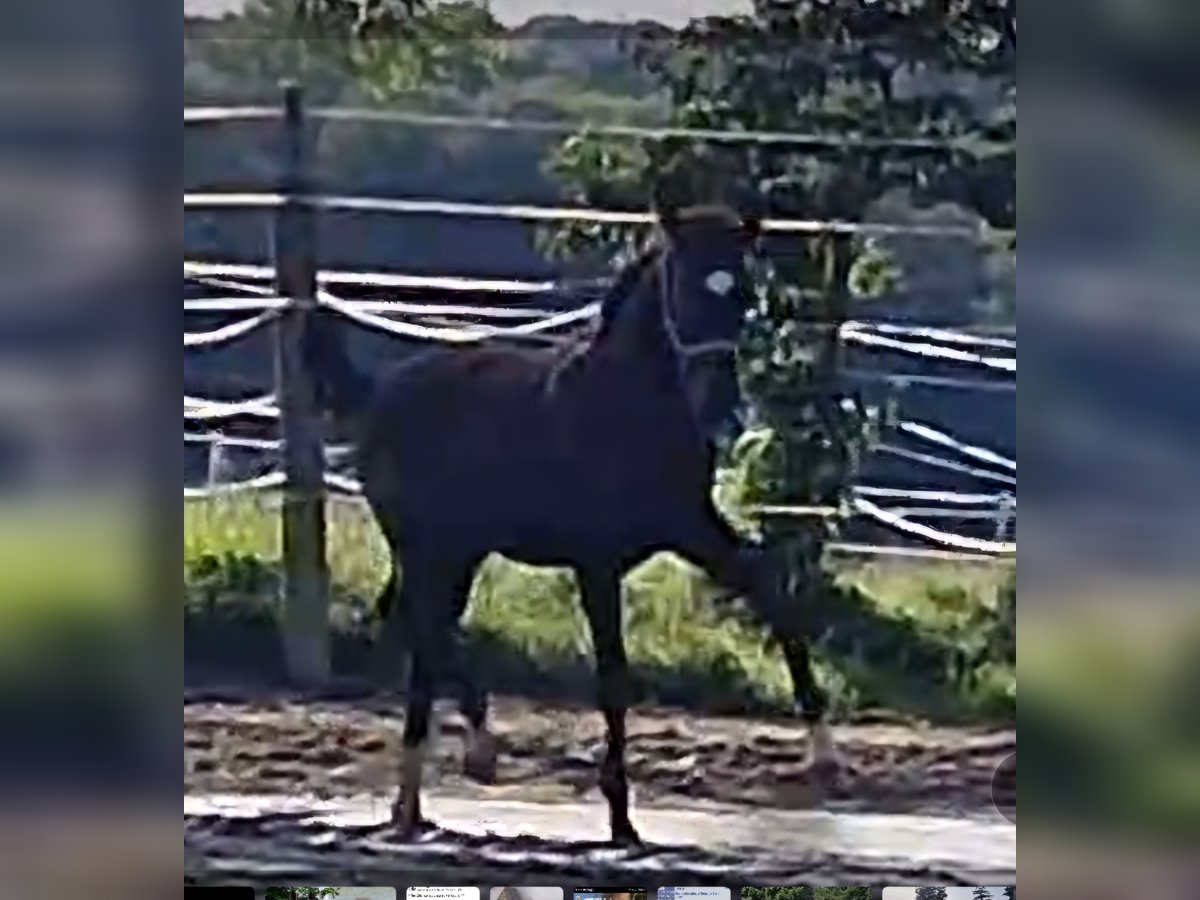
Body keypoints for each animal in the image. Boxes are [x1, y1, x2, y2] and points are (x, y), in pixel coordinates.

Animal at [304, 202, 840, 844]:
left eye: (742, 291)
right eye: (685, 286)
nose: (719, 400)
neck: (626, 409)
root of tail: (378, 392)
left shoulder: (692, 530)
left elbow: (773, 595)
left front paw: (823, 750)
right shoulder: (597, 562)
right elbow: (613, 674)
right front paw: (621, 816)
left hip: (459, 551)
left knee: (418, 625)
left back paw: (436, 784)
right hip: (430, 545)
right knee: (423, 628)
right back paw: (444, 776)